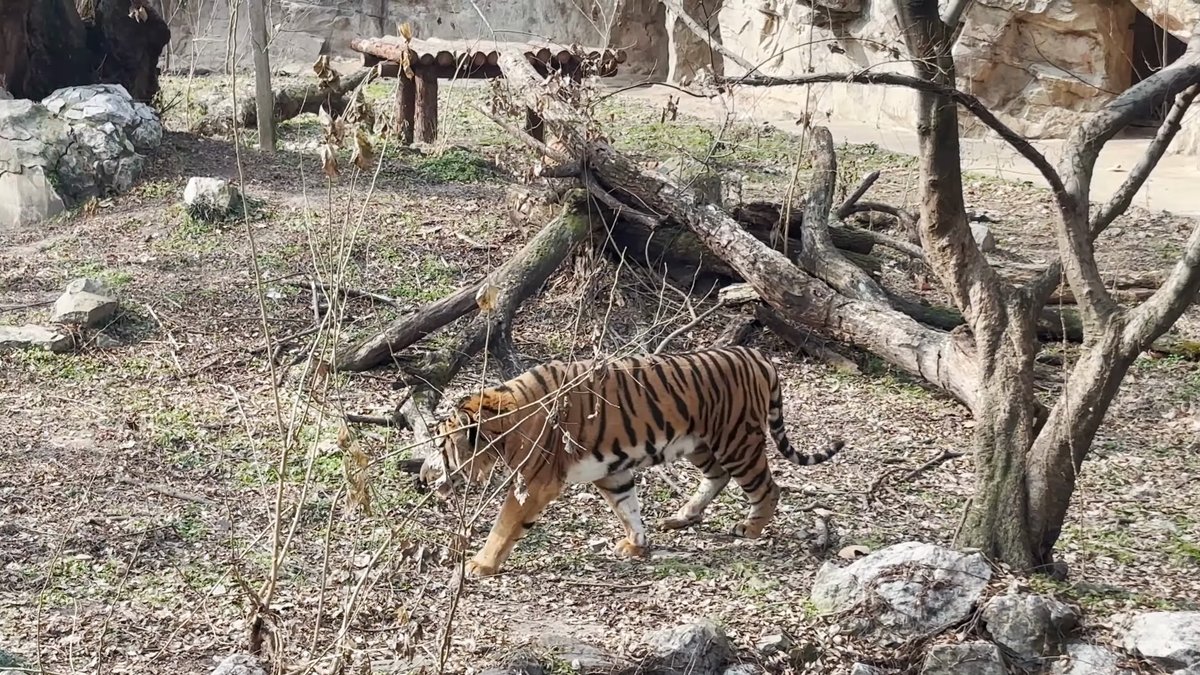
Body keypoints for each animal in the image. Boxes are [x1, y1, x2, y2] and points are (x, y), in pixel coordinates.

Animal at [417, 345, 845, 579]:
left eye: (441, 445)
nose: (422, 477)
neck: (506, 419)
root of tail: (757, 355)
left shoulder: (533, 483)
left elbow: (503, 526)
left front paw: (479, 565)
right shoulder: (613, 471)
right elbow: (628, 507)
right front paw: (636, 544)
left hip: (736, 441)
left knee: (768, 487)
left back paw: (750, 528)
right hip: (700, 444)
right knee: (718, 477)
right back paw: (682, 516)